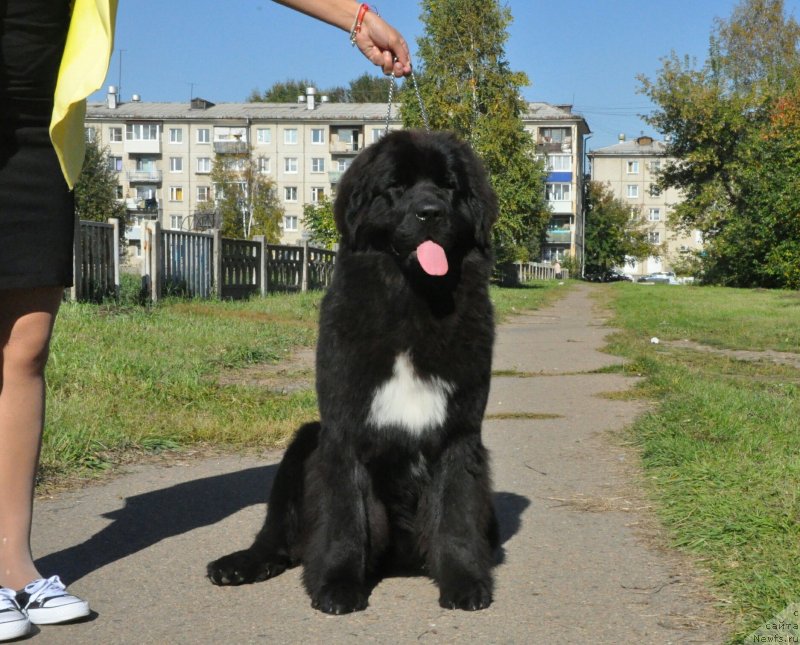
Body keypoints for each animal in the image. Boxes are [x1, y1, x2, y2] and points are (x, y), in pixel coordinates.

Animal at [206, 130, 496, 612]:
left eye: (448, 186)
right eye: (396, 186)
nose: (431, 212)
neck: (412, 303)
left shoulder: (460, 432)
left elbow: (455, 512)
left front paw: (464, 582)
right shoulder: (343, 430)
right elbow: (345, 516)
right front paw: (337, 585)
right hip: (303, 443)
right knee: (278, 534)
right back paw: (241, 565)